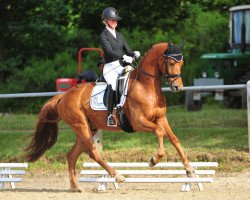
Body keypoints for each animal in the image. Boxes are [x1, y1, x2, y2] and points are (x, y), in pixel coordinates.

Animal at [25, 42, 197, 192]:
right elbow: (159, 132)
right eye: (172, 63)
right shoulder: (138, 122)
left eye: (181, 62)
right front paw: (154, 159)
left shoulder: (161, 119)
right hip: (81, 125)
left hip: (89, 128)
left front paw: (189, 170)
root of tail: (63, 96)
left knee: (72, 156)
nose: (178, 87)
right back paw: (117, 175)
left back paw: (76, 187)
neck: (146, 86)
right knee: (93, 152)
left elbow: (174, 139)